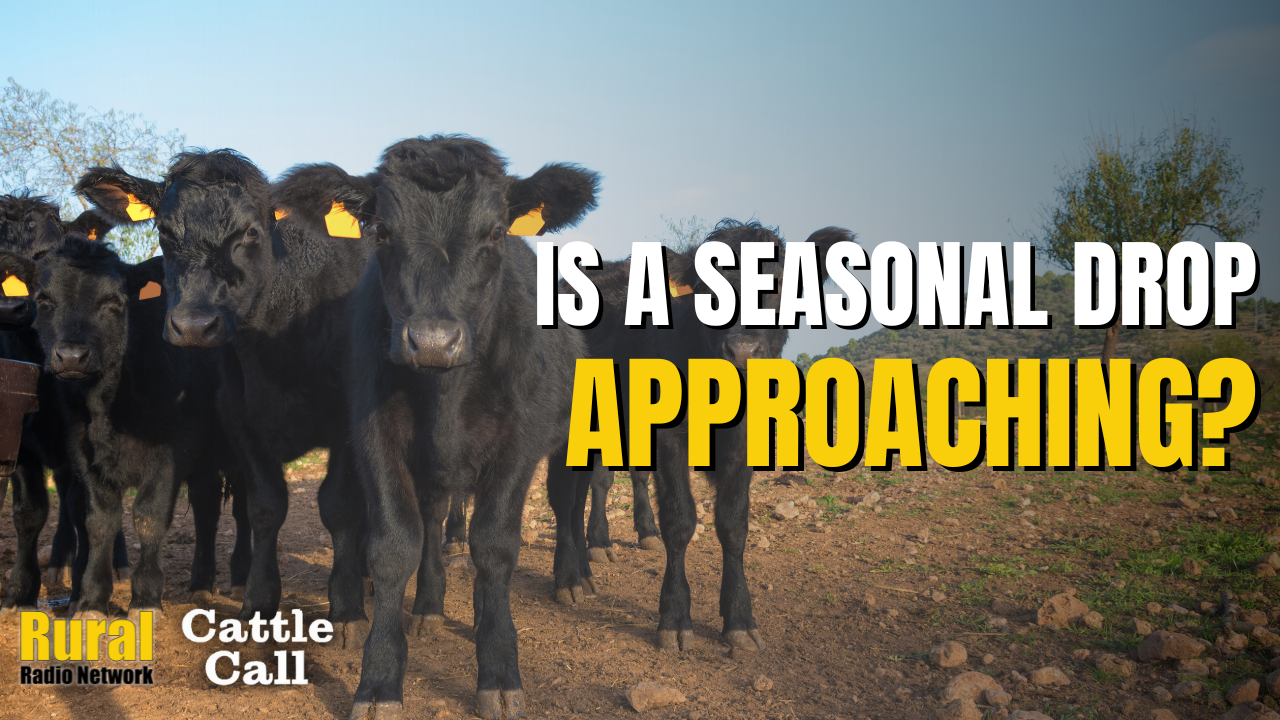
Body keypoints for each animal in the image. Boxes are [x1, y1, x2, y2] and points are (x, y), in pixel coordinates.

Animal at [0, 193, 130, 612]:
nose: (10, 308)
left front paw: (81, 594)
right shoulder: (20, 439)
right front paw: (20, 592)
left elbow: (81, 509)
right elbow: (29, 513)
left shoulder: (81, 443)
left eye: (45, 253)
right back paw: (58, 563)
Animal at [0, 237, 248, 615]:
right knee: (206, 508)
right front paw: (89, 599)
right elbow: (95, 520)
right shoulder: (77, 450)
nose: (71, 356)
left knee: (246, 508)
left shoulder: (171, 450)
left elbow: (149, 516)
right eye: (42, 300)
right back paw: (201, 586)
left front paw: (145, 598)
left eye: (115, 301)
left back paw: (241, 580)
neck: (111, 406)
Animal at [75, 150, 372, 640]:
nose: (194, 326)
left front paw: (347, 607)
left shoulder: (348, 421)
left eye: (251, 231)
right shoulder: (240, 421)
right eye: (164, 231)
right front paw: (258, 600)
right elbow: (265, 508)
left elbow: (341, 506)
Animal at [273, 134, 599, 720]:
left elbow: (494, 546)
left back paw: (570, 578)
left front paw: (499, 671)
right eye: (381, 231)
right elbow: (395, 545)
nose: (431, 341)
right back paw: (427, 606)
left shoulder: (519, 443)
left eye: (495, 231)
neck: (446, 393)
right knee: (430, 519)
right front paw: (379, 679)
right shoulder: (374, 437)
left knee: (564, 502)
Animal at [547, 220, 852, 655]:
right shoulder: (668, 441)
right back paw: (569, 578)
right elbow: (679, 520)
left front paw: (739, 618)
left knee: (582, 492)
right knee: (563, 495)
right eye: (708, 289)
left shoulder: (746, 445)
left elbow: (734, 524)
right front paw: (675, 617)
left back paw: (588, 569)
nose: (743, 350)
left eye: (778, 284)